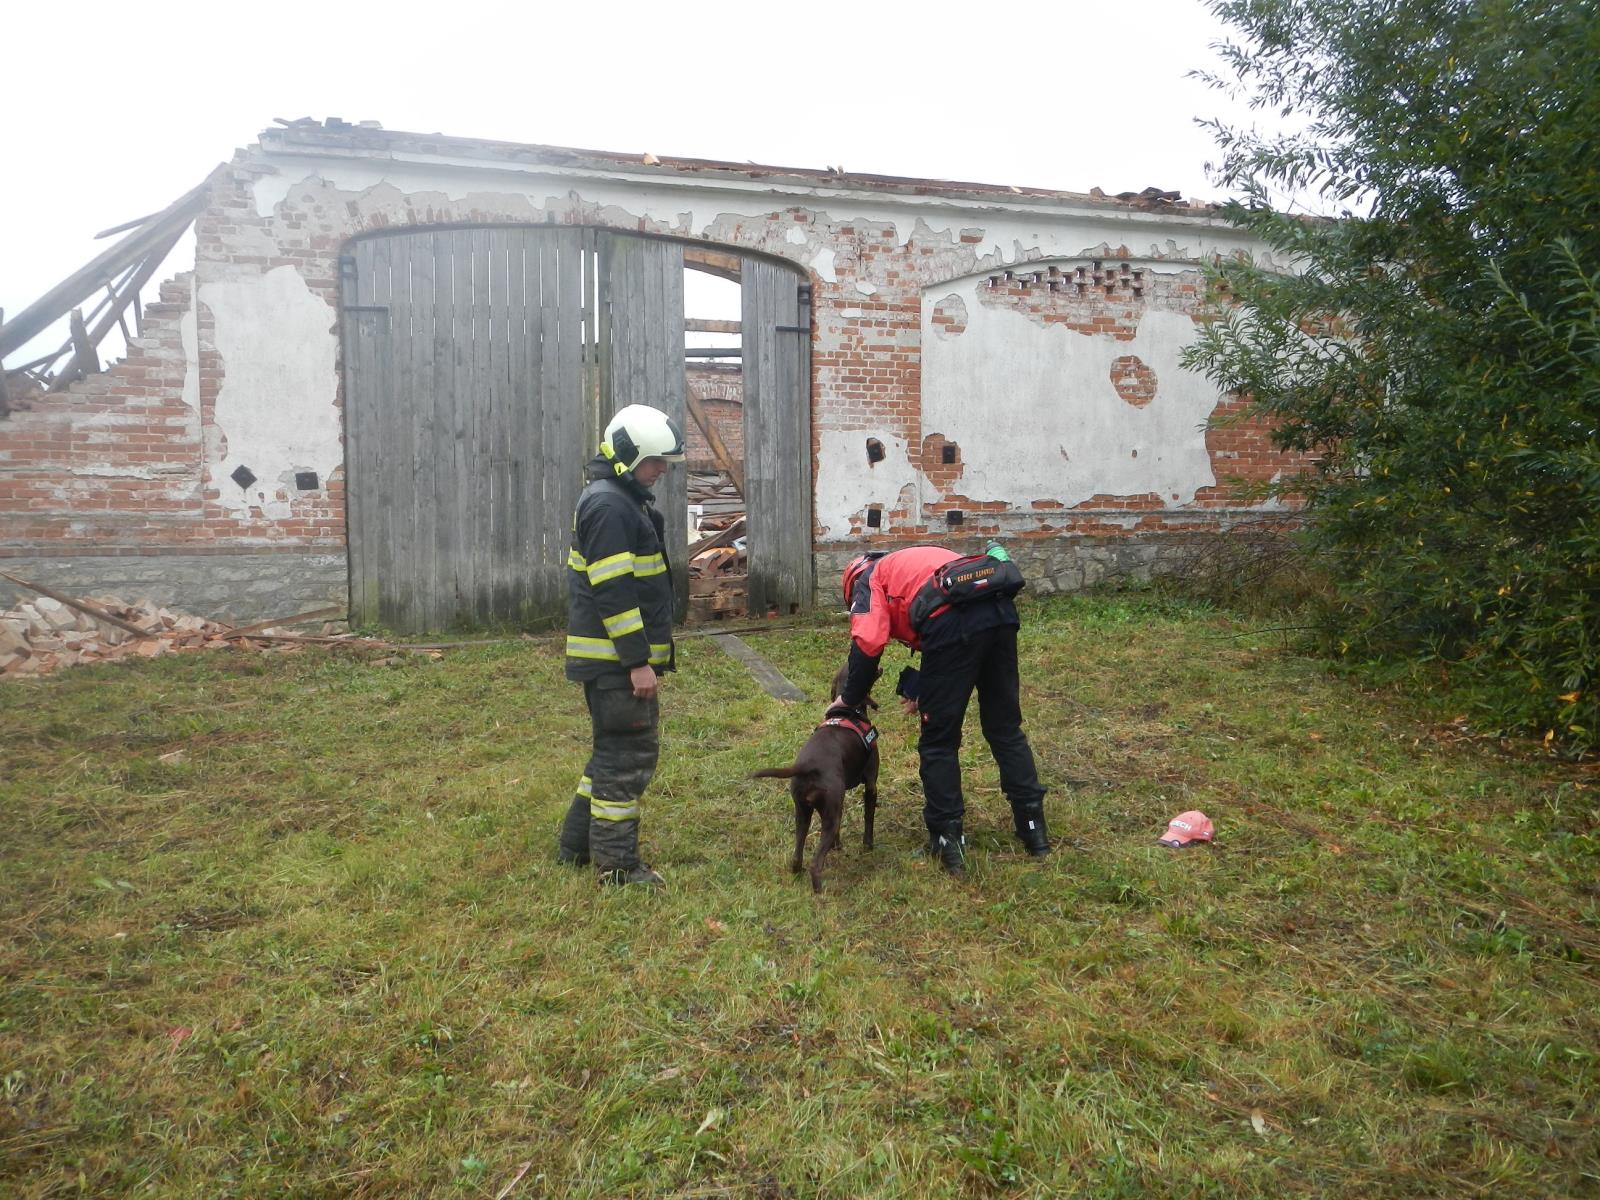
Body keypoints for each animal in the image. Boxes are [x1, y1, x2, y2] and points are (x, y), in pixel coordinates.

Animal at [752, 668, 883, 896]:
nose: (879, 667)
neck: (846, 712)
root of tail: (807, 766)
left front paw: (837, 846)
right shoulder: (871, 783)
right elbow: (869, 818)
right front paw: (868, 845)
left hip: (803, 813)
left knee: (797, 856)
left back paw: (798, 873)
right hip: (829, 816)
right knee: (815, 864)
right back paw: (820, 892)